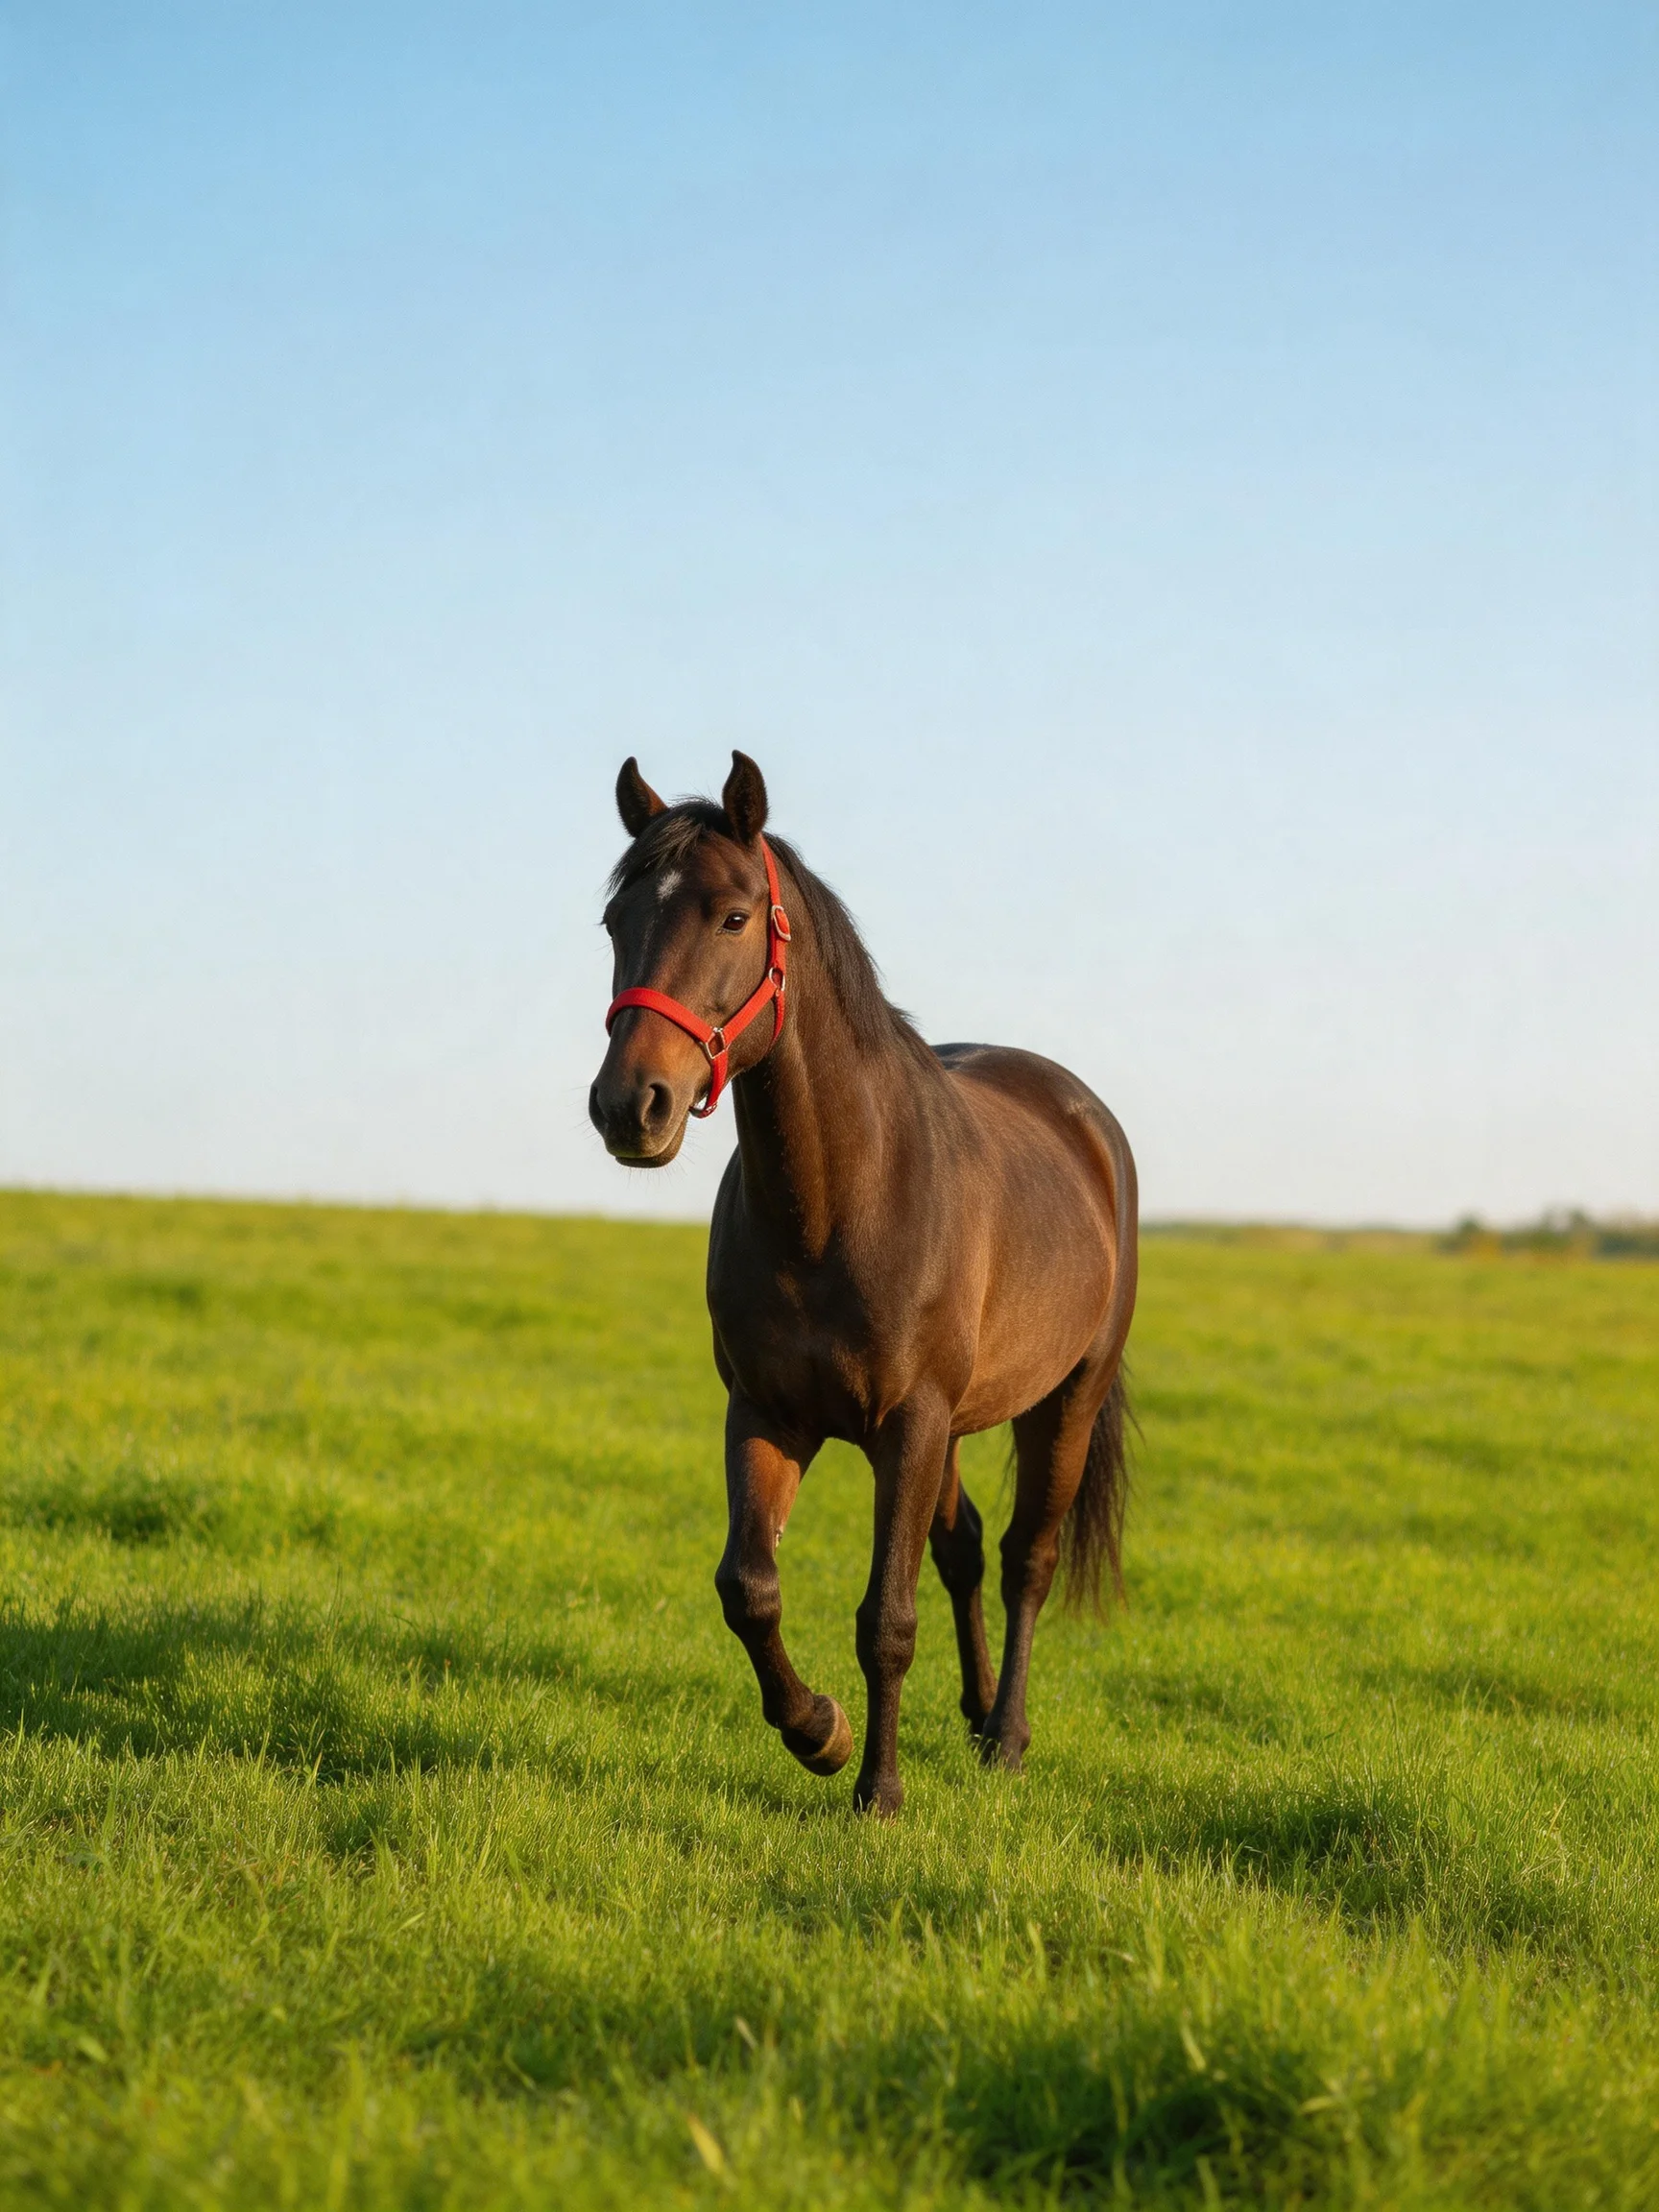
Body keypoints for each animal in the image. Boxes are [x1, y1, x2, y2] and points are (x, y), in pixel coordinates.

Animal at [589, 752, 1137, 1816]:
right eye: (613, 922)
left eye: (733, 916)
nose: (630, 1105)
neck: (839, 1202)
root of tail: (1084, 1120)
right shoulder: (767, 1413)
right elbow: (749, 1587)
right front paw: (820, 1732)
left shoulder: (909, 1425)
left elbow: (887, 1616)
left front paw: (877, 1791)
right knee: (965, 1549)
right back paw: (972, 1713)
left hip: (1065, 1402)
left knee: (1026, 1559)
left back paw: (1006, 1735)